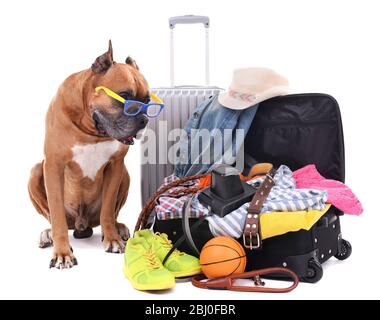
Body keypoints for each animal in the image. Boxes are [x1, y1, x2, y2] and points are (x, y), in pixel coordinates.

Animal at [27, 41, 150, 268]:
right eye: (125, 97)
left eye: (147, 100)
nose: (144, 119)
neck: (91, 130)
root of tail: (81, 225)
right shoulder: (53, 165)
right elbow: (56, 215)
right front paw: (62, 252)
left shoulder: (116, 165)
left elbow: (108, 210)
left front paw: (112, 239)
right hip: (36, 171)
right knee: (54, 218)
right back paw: (47, 234)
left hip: (125, 175)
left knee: (108, 215)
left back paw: (119, 228)